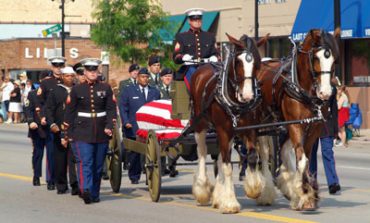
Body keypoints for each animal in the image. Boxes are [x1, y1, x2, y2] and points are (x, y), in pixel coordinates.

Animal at [189, 34, 268, 213]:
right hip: (200, 125)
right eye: (238, 62)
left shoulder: (249, 130)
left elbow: (252, 157)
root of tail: (203, 66)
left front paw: (254, 189)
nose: (248, 95)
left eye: (257, 62)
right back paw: (202, 190)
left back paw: (218, 196)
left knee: (219, 156)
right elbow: (227, 166)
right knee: (202, 152)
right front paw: (230, 203)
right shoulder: (223, 130)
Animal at [254, 28, 342, 210]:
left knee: (283, 150)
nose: (325, 93)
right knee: (264, 154)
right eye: (316, 58)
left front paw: (305, 193)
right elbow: (302, 160)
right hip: (261, 123)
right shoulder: (295, 125)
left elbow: (306, 159)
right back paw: (265, 191)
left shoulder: (314, 127)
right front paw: (304, 193)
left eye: (335, 59)